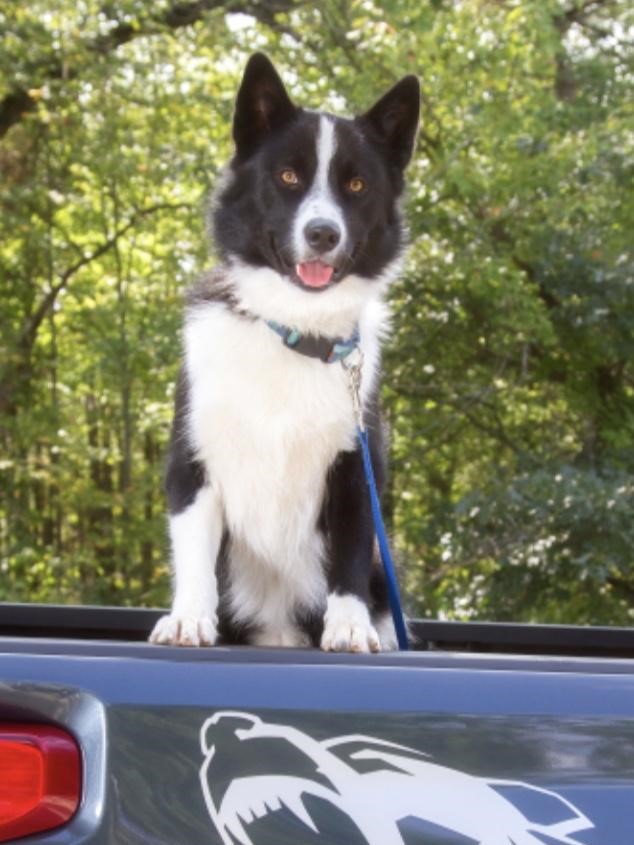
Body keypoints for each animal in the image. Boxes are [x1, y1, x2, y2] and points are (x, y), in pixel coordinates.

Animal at [149, 54, 420, 652]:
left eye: (357, 184)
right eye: (288, 176)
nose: (322, 234)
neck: (295, 330)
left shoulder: (355, 467)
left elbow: (349, 556)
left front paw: (350, 626)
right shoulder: (193, 459)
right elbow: (194, 552)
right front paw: (188, 618)